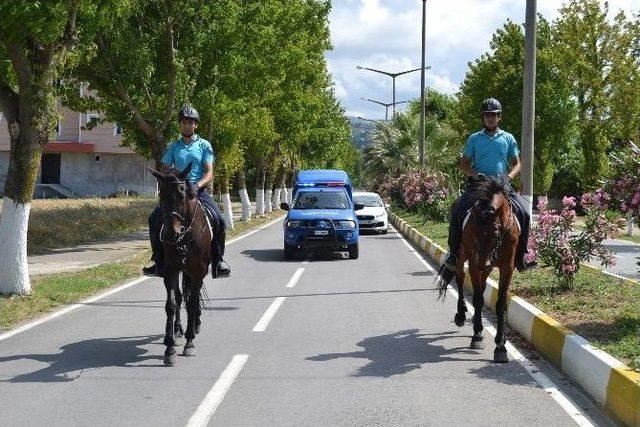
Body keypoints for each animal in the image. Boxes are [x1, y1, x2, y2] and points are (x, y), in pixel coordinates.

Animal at [148, 164, 212, 368]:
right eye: (161, 195)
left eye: (182, 193)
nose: (170, 234)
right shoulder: (171, 270)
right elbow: (172, 304)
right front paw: (169, 348)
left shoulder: (198, 271)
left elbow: (192, 304)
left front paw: (190, 342)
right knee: (180, 295)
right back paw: (177, 331)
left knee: (194, 297)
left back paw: (195, 325)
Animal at [436, 176, 520, 362]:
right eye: (472, 230)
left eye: (496, 231)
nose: (482, 261)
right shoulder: (474, 265)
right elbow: (477, 299)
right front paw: (477, 335)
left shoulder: (507, 268)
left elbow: (500, 303)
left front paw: (501, 345)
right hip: (461, 258)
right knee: (460, 280)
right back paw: (462, 315)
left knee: (481, 287)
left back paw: (476, 319)